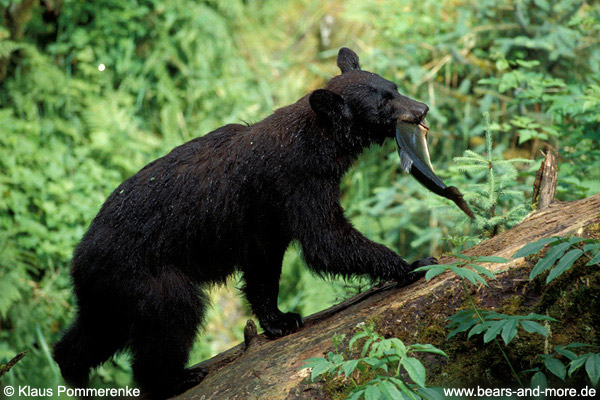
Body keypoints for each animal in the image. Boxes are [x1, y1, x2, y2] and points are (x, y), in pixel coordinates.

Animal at [52, 48, 436, 398]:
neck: (317, 142)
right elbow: (325, 239)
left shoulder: (265, 218)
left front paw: (280, 319)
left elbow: (264, 266)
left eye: (394, 86)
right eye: (384, 102)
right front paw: (413, 264)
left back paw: (71, 369)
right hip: (146, 275)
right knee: (172, 315)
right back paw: (175, 378)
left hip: (112, 290)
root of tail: (78, 257)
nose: (422, 109)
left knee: (97, 330)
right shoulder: (297, 183)